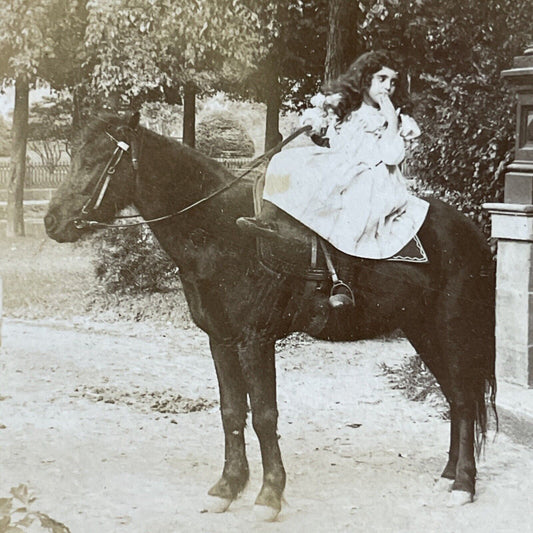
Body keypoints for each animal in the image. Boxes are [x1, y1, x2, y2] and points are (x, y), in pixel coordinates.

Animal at [44, 113, 494, 520]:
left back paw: (464, 484)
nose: (52, 222)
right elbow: (231, 411)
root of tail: (470, 230)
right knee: (455, 400)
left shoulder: (255, 340)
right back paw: (449, 475)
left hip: (452, 330)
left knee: (463, 400)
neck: (223, 230)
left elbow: (263, 416)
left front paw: (269, 495)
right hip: (423, 332)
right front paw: (227, 487)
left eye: (95, 159)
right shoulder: (221, 339)